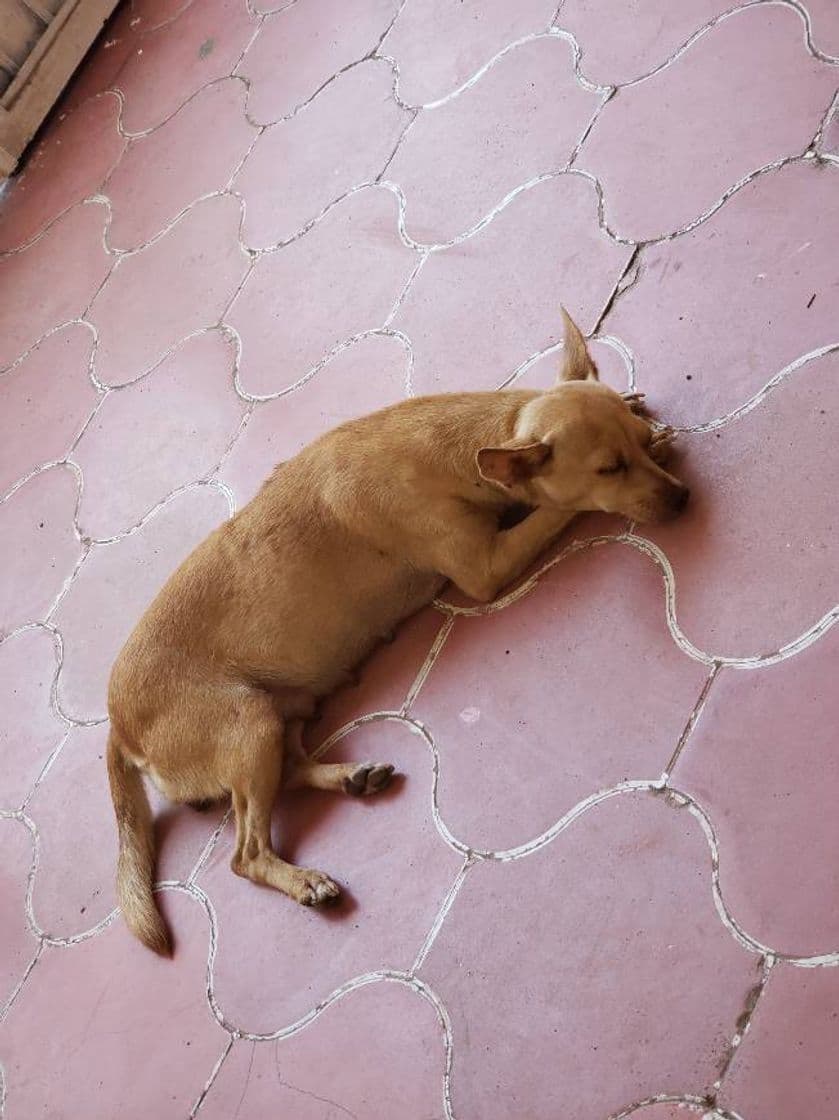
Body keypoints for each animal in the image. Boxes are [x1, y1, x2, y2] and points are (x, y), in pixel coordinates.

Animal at [104, 311, 685, 958]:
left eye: (634, 444)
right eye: (609, 470)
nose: (682, 496)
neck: (465, 443)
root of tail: (116, 725)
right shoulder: (486, 566)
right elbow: (553, 511)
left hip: (274, 717)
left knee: (285, 773)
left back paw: (348, 777)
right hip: (245, 724)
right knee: (244, 853)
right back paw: (302, 878)